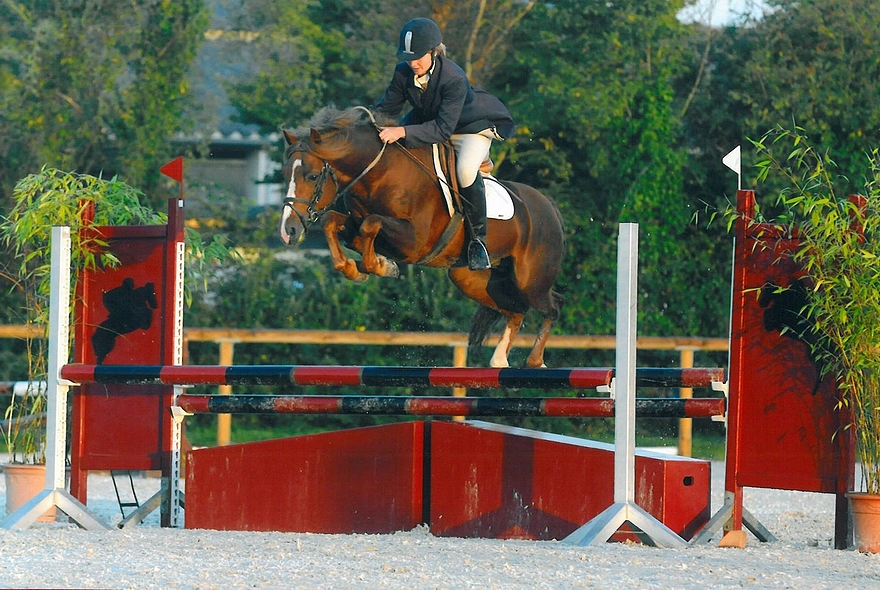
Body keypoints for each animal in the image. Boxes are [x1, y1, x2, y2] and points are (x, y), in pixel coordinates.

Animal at [280, 105, 564, 366]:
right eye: (285, 175)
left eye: (312, 176)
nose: (288, 231)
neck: (378, 174)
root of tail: (550, 208)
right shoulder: (355, 223)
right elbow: (334, 223)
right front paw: (361, 267)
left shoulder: (415, 241)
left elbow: (370, 224)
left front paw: (380, 265)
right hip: (472, 279)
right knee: (516, 310)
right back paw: (499, 360)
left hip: (530, 280)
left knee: (552, 305)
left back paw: (534, 360)